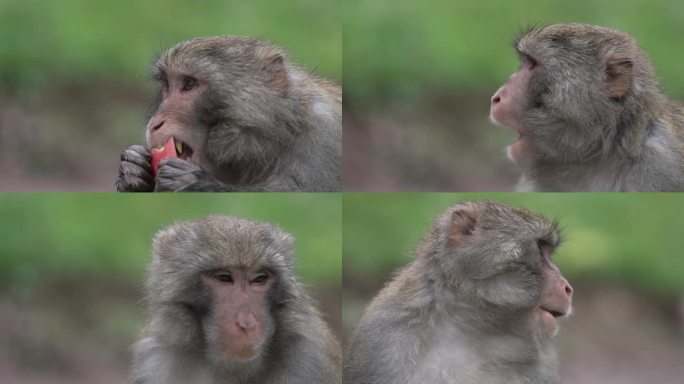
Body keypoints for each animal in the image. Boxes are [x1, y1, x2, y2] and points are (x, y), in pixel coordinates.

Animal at [119, 36, 342, 192]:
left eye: (188, 84)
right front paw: (132, 168)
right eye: (167, 85)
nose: (155, 123)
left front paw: (195, 183)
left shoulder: (323, 141)